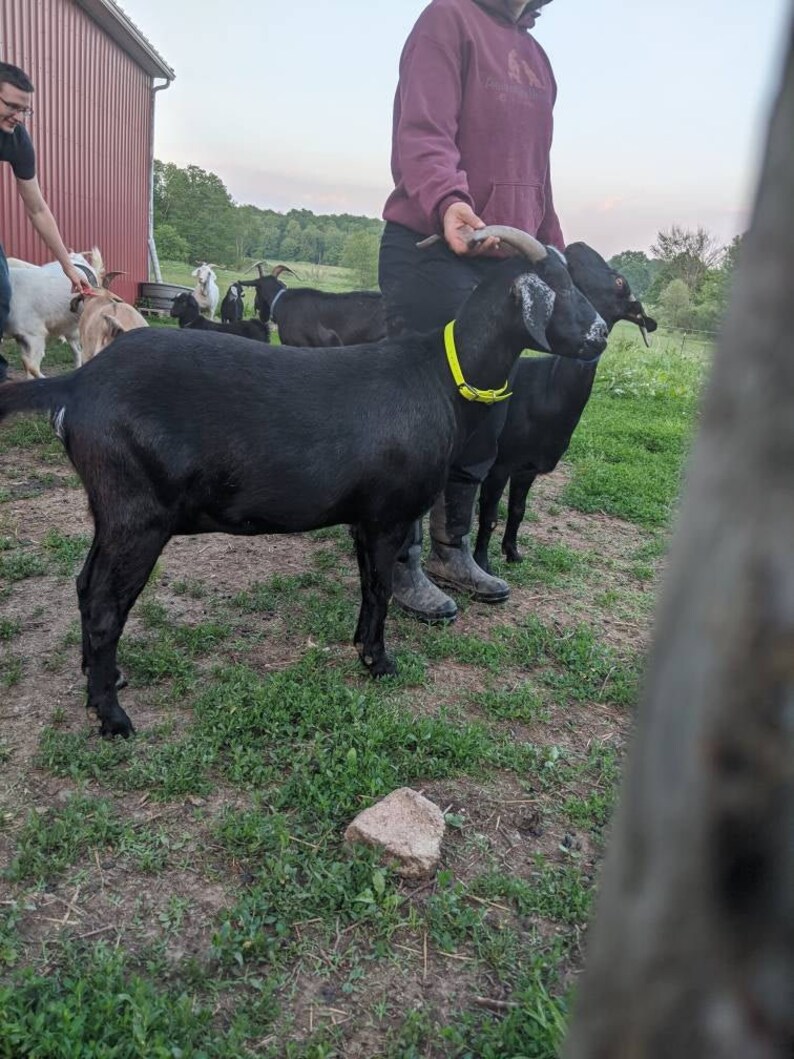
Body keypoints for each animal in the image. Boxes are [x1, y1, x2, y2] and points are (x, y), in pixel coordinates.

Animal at [4, 249, 104, 378]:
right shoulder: (20, 336)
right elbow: (26, 363)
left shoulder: (35, 334)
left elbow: (31, 365)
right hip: (68, 327)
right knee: (77, 351)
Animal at [473, 242, 658, 573]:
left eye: (620, 281)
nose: (578, 246)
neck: (547, 392)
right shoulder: (500, 464)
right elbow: (490, 516)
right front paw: (482, 563)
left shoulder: (527, 468)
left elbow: (518, 510)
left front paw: (513, 552)